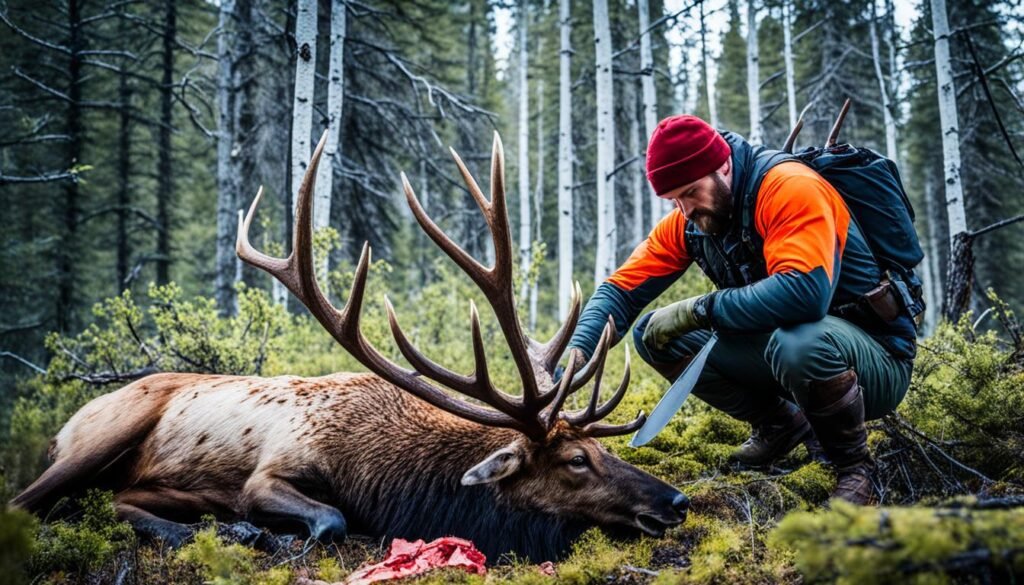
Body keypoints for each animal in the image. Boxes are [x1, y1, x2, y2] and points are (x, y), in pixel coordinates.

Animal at [9, 131, 688, 561]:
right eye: (576, 460)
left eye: (601, 450)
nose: (676, 500)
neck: (388, 479)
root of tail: (67, 421)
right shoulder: (271, 471)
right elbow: (329, 518)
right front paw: (275, 532)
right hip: (103, 433)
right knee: (27, 502)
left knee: (115, 499)